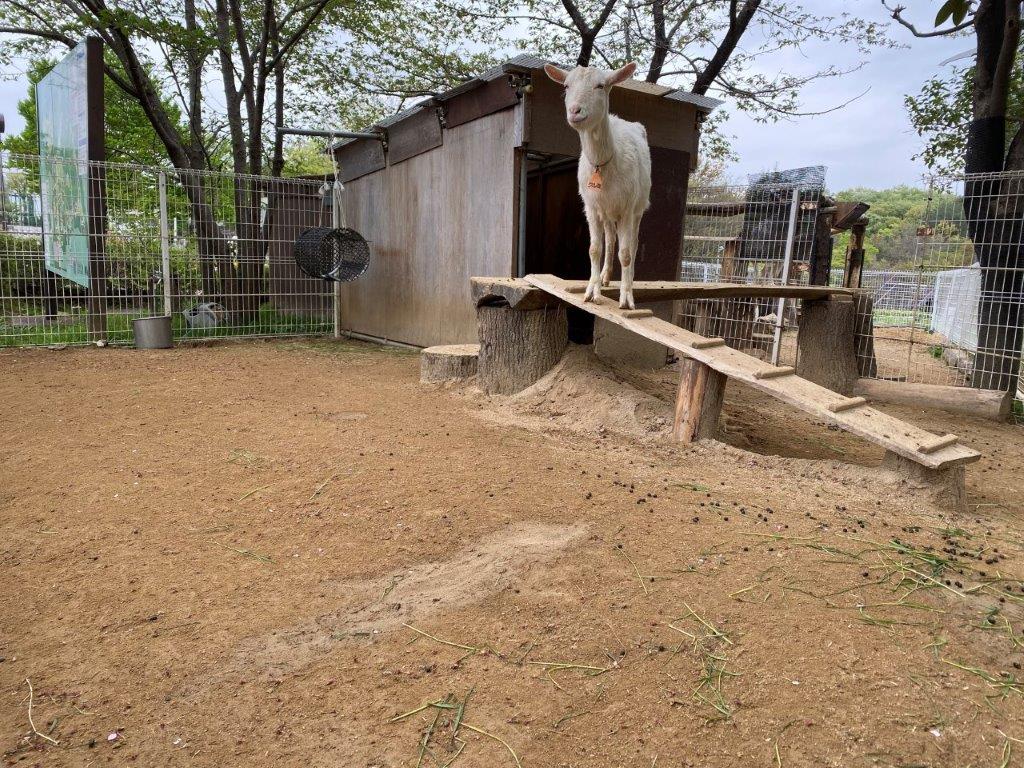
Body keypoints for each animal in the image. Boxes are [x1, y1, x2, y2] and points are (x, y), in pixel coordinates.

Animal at [540, 62, 651, 309]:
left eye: (601, 85)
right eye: (566, 85)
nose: (575, 111)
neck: (603, 164)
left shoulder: (627, 207)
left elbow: (626, 253)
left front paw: (626, 299)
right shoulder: (591, 207)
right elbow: (594, 249)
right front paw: (592, 291)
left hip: (638, 207)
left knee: (634, 243)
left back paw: (627, 281)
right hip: (607, 212)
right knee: (610, 240)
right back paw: (605, 276)